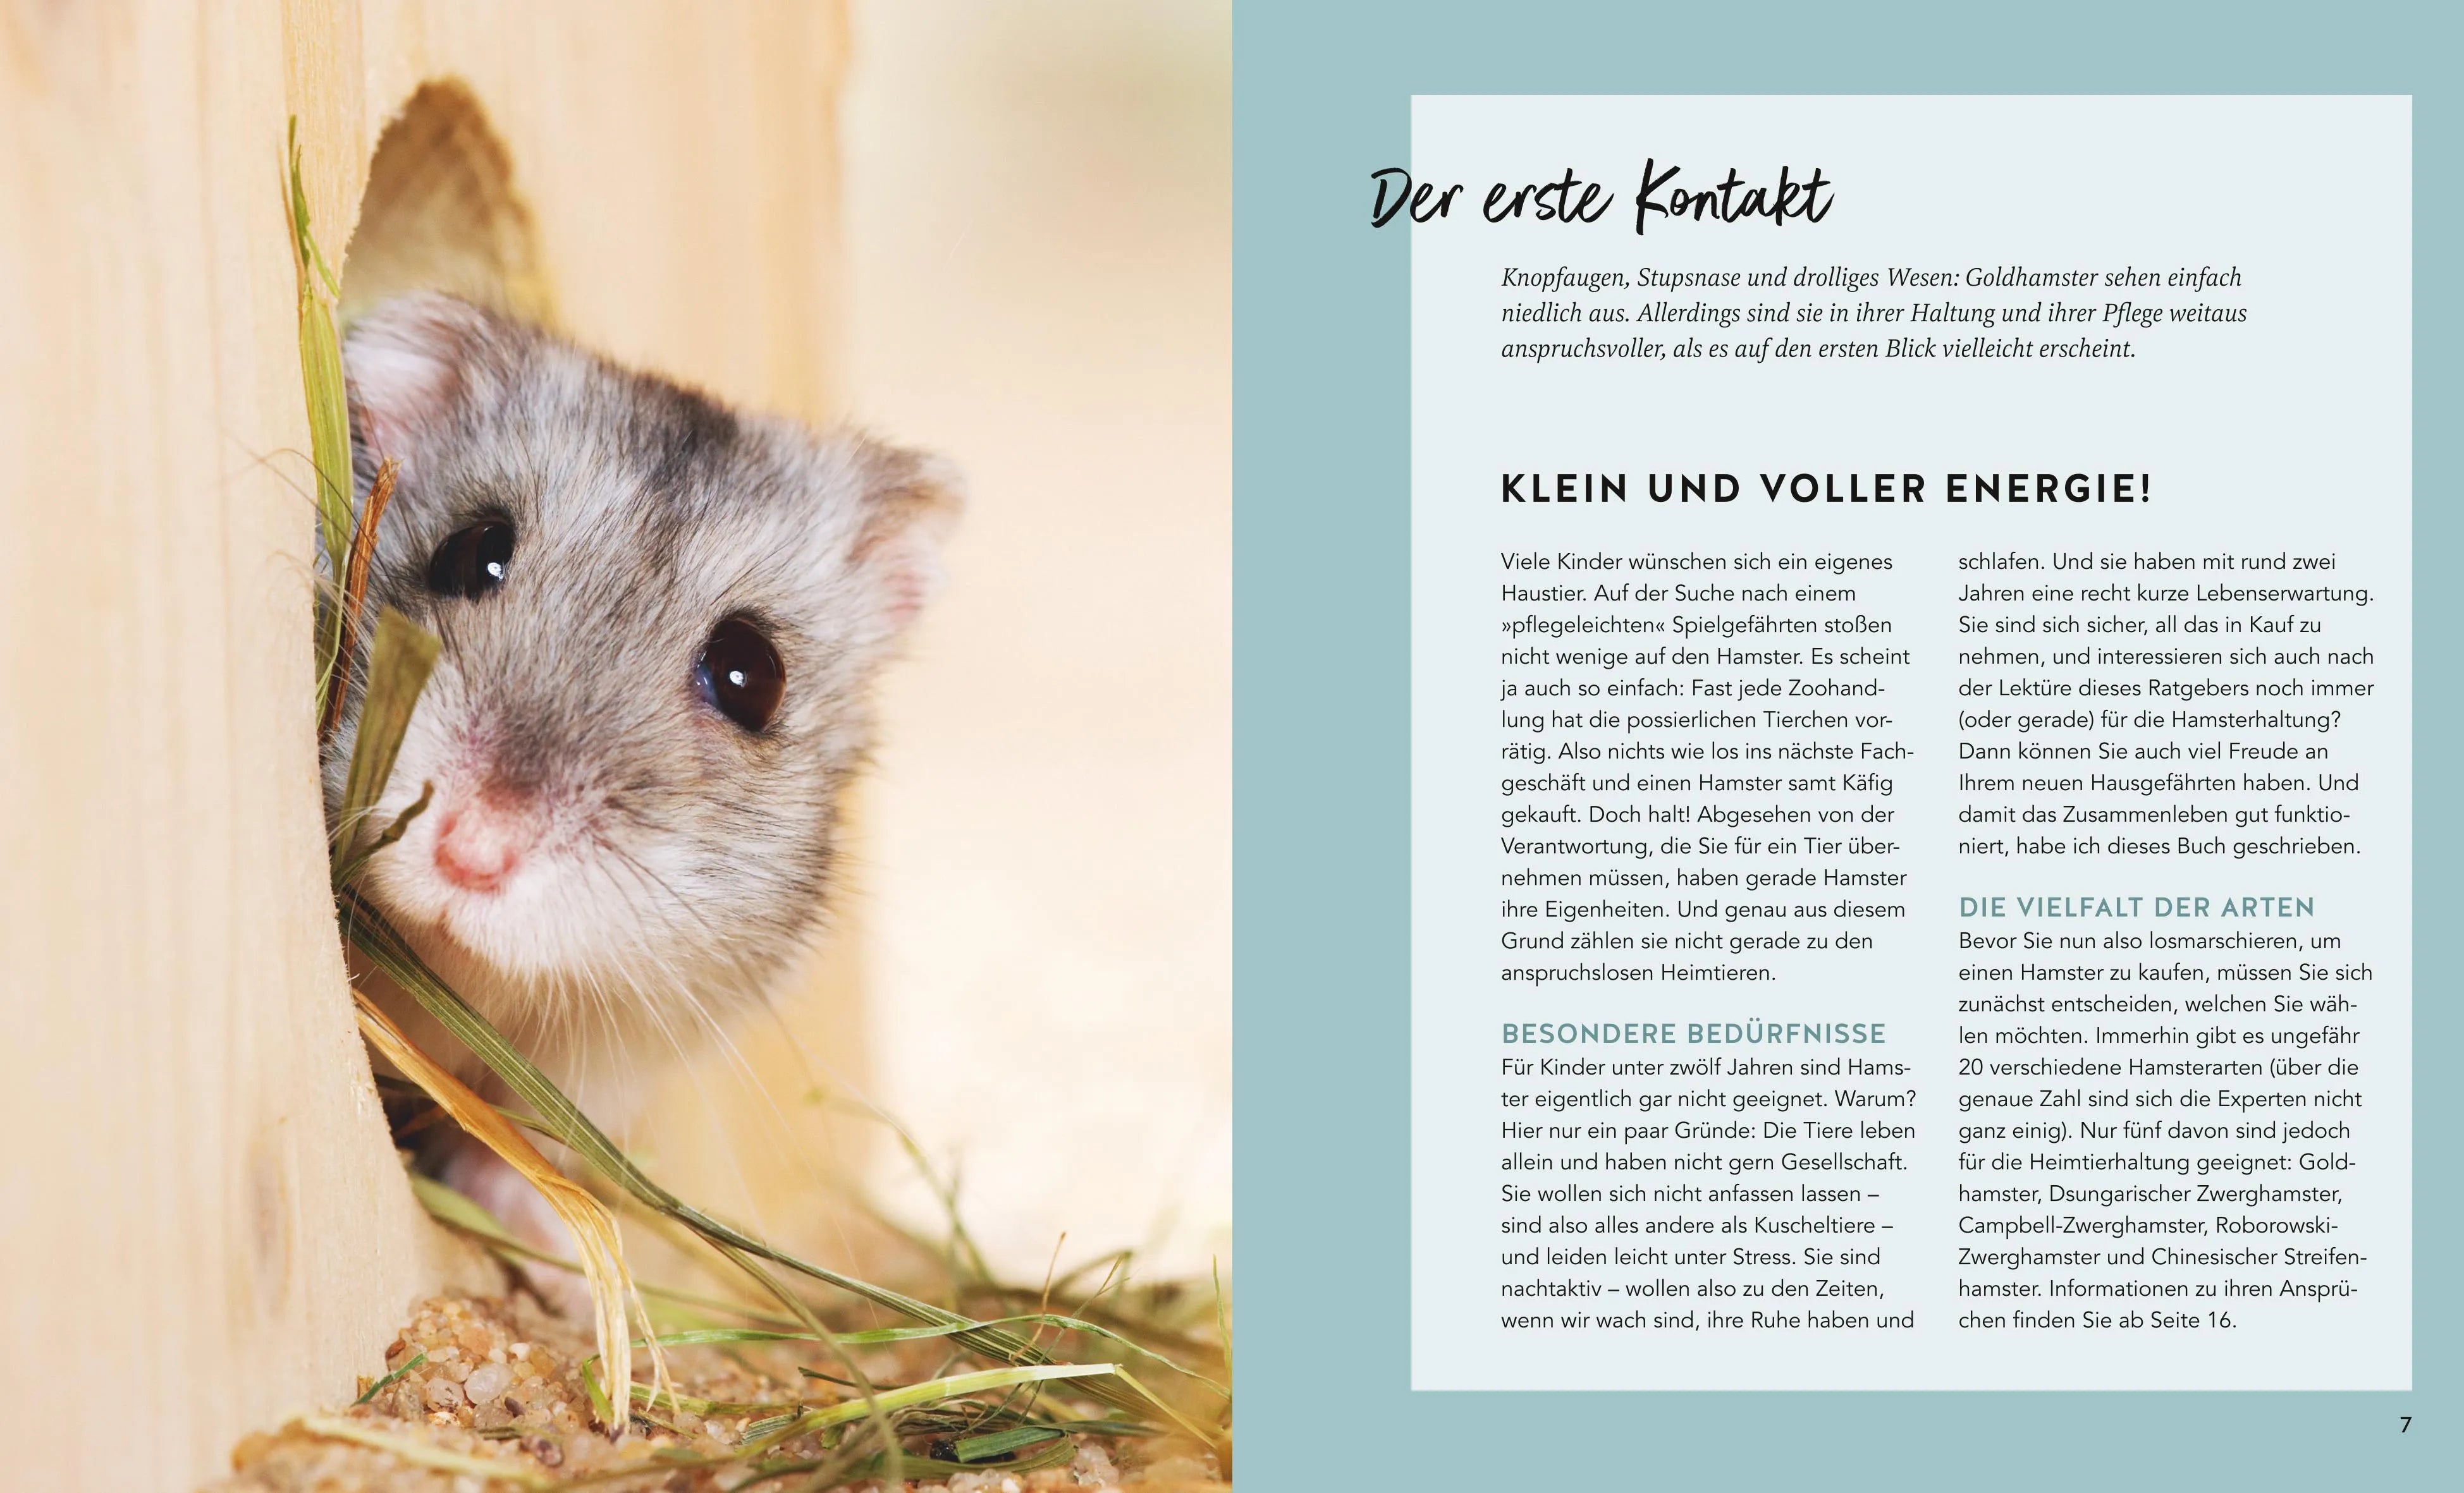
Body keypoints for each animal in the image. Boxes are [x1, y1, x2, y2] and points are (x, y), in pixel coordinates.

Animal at [325, 292, 958, 1270]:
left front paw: (552, 1250)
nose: (470, 853)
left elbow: (521, 1141)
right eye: (471, 551)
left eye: (752, 676)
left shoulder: (615, 1049)